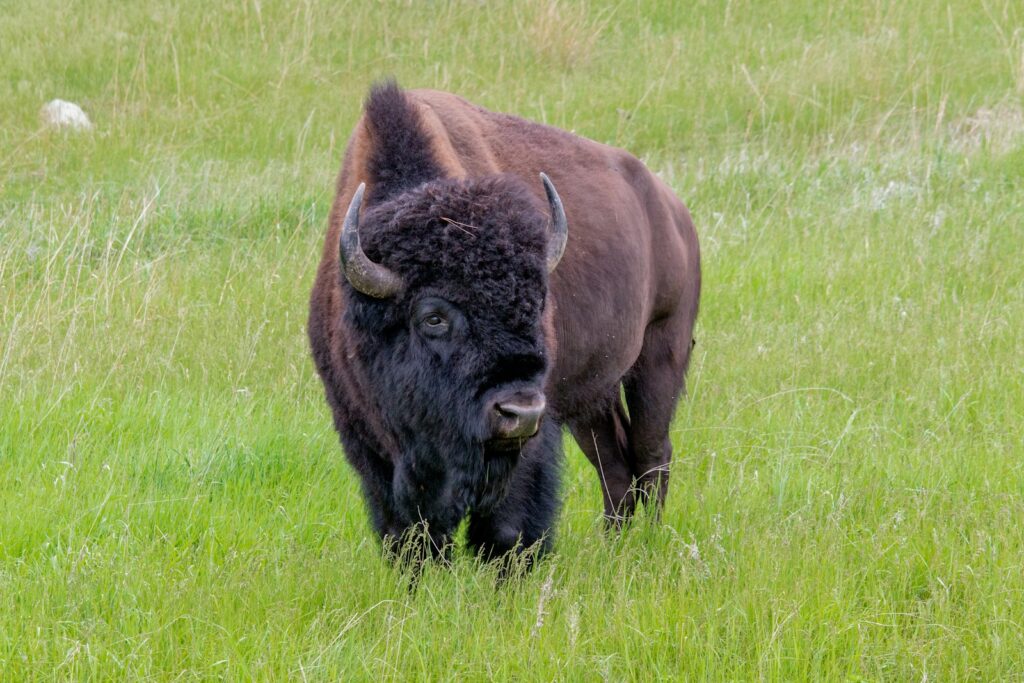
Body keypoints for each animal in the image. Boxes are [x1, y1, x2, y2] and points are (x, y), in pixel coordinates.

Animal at [308, 82, 700, 563]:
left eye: (536, 304)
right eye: (433, 318)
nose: (520, 411)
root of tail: (673, 209)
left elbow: (508, 528)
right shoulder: (368, 442)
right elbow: (409, 535)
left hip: (660, 355)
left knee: (651, 453)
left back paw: (646, 542)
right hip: (592, 398)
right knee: (616, 464)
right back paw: (614, 544)